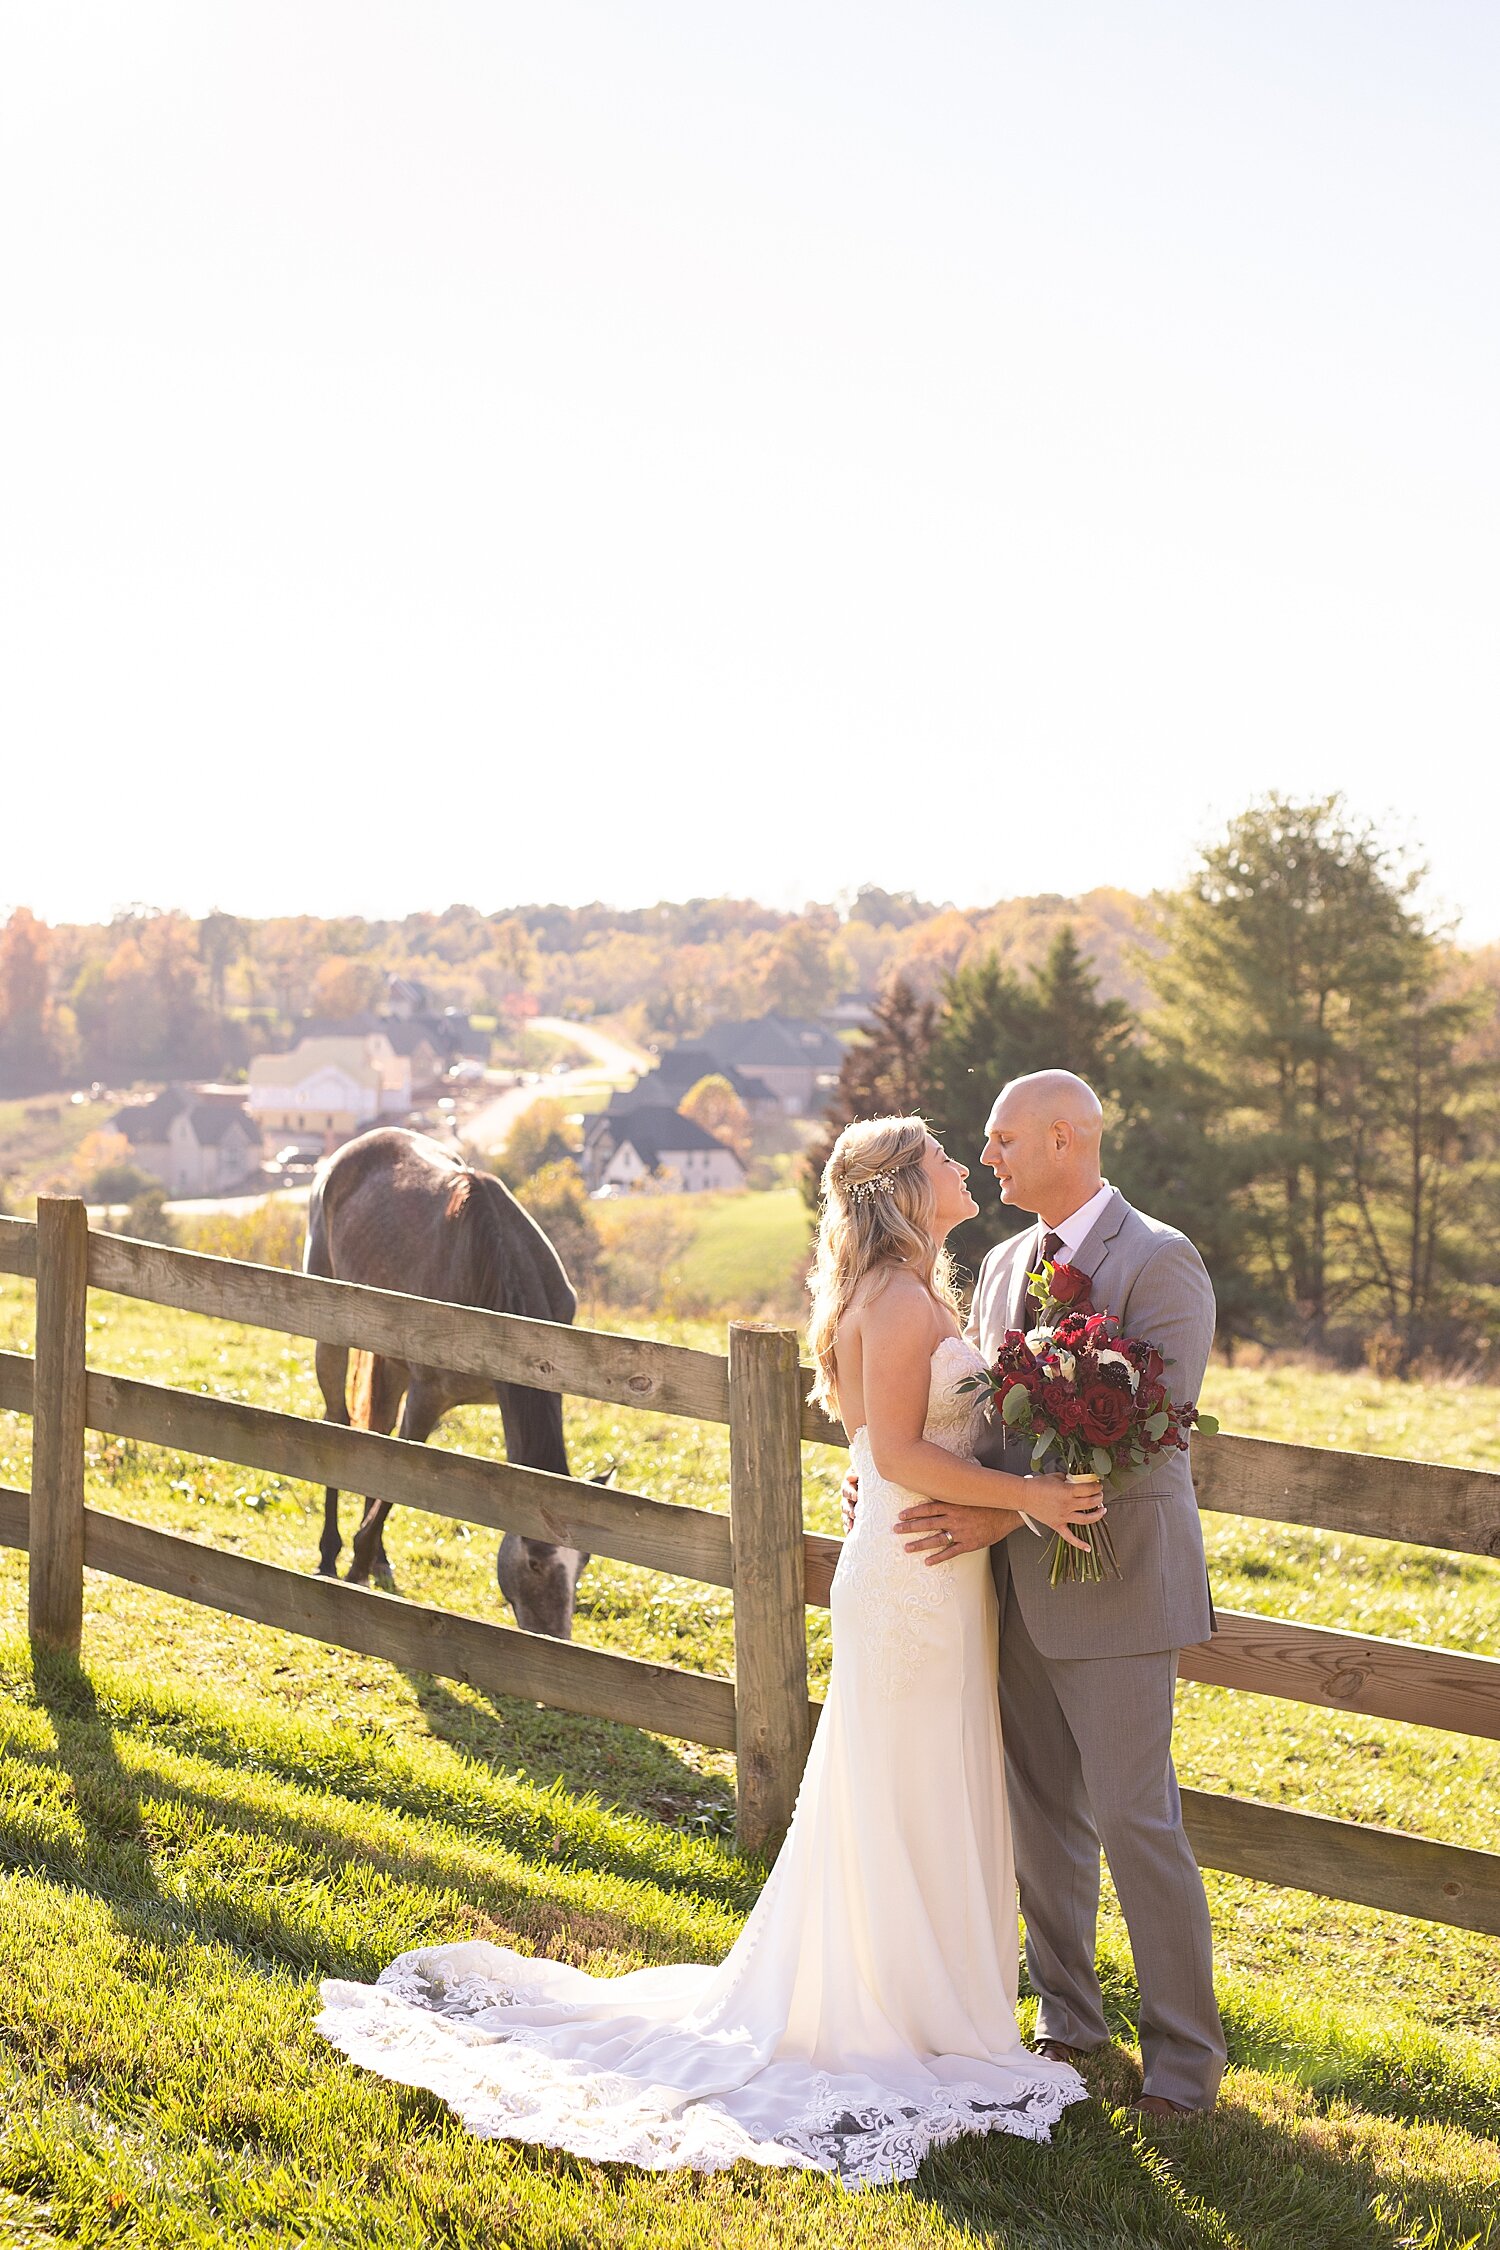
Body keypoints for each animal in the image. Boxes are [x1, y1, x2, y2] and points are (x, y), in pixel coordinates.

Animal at [305, 1125, 593, 1638]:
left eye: (581, 1566)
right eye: (535, 1563)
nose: (556, 1639)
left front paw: (370, 1557)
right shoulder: (427, 1397)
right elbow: (396, 1477)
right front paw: (356, 1567)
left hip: (389, 1357)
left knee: (374, 1432)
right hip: (332, 1331)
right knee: (337, 1422)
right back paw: (329, 1554)